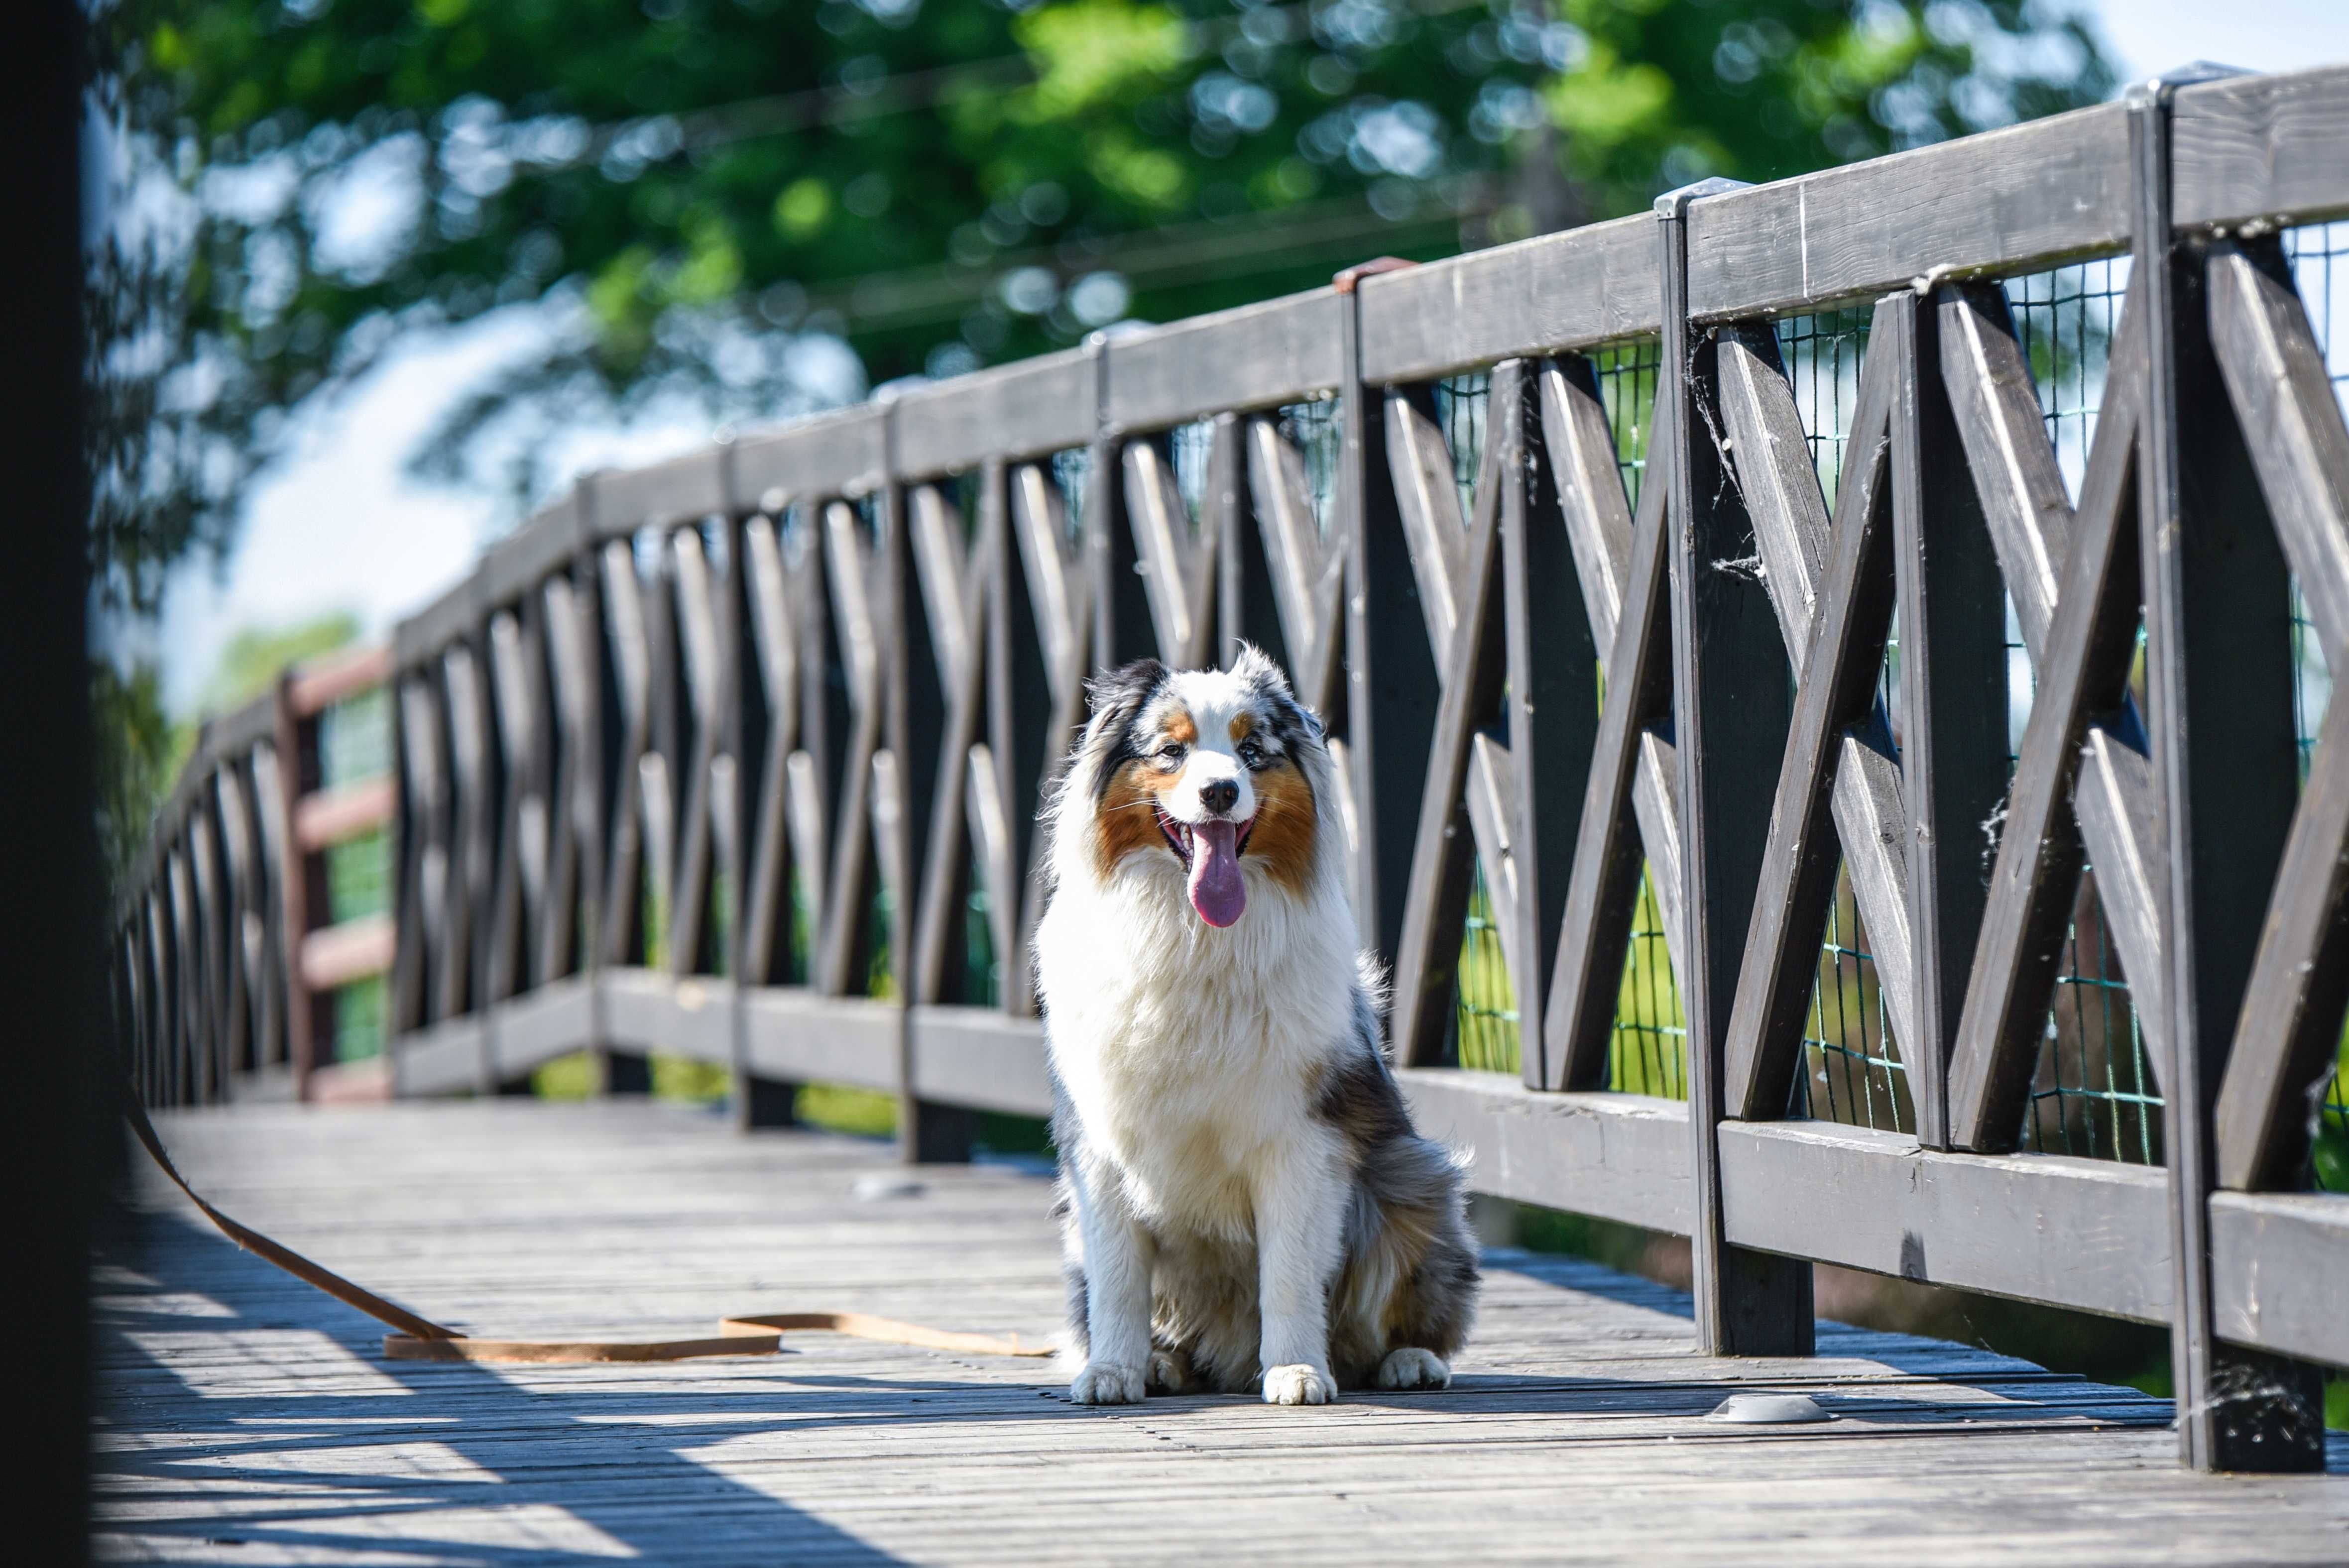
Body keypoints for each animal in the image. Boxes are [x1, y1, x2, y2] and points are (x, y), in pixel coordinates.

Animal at [1038, 643, 1475, 1399]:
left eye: (1251, 751)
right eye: (1172, 750)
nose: (1219, 792)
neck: (1193, 936)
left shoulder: (1303, 1138)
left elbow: (1291, 1273)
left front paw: (1297, 1369)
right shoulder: (1097, 1147)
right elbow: (1118, 1278)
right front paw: (1112, 1370)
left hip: (1410, 1185)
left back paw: (1408, 1360)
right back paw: (1163, 1363)